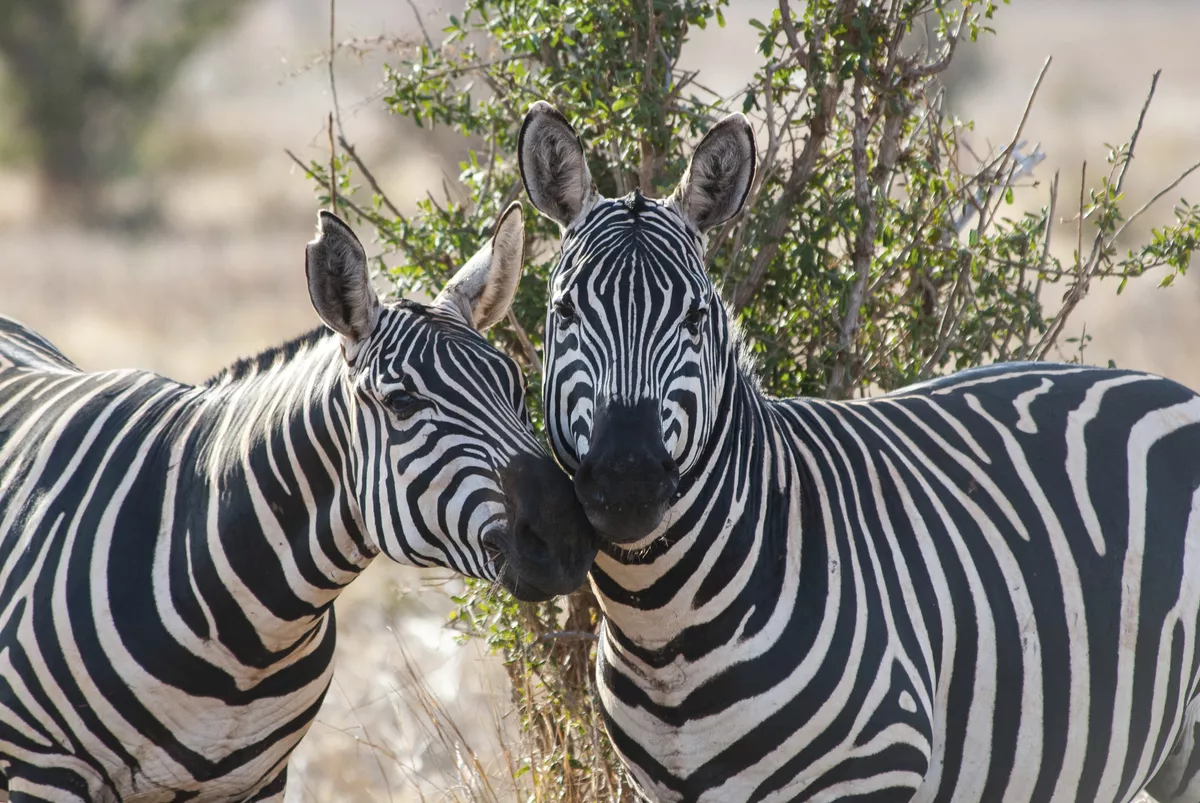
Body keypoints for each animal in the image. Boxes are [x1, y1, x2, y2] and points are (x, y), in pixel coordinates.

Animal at [0, 204, 595, 796]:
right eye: (402, 403)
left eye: (517, 386)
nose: (566, 537)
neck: (250, 637)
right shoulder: (47, 769)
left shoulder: (260, 780)